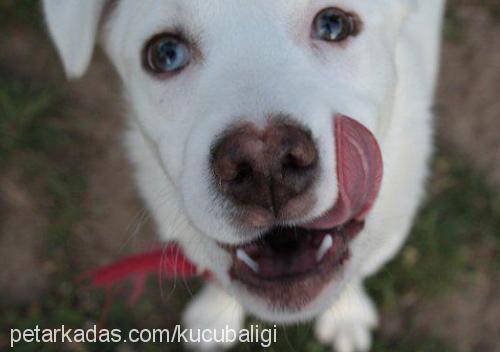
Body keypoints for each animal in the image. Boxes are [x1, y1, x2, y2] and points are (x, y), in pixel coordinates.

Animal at [43, 1, 446, 350]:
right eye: (165, 53)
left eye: (333, 24)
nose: (265, 163)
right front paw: (215, 318)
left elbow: (354, 273)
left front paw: (346, 317)